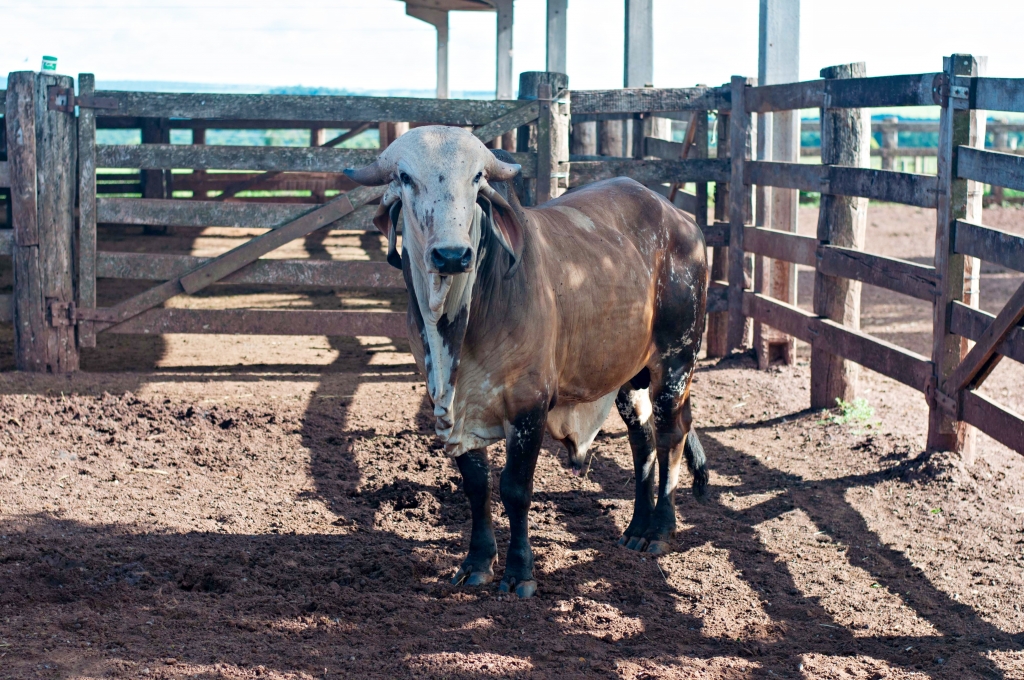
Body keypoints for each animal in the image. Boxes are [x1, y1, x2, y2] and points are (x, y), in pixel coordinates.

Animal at [348, 124, 708, 598]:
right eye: (405, 178)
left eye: (477, 178)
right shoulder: (449, 407)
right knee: (643, 440)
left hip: (676, 362)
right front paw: (477, 563)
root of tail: (678, 217)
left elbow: (515, 488)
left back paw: (659, 531)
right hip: (629, 378)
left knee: (671, 435)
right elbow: (476, 486)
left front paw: (520, 573)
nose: (451, 255)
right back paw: (636, 528)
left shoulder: (528, 405)